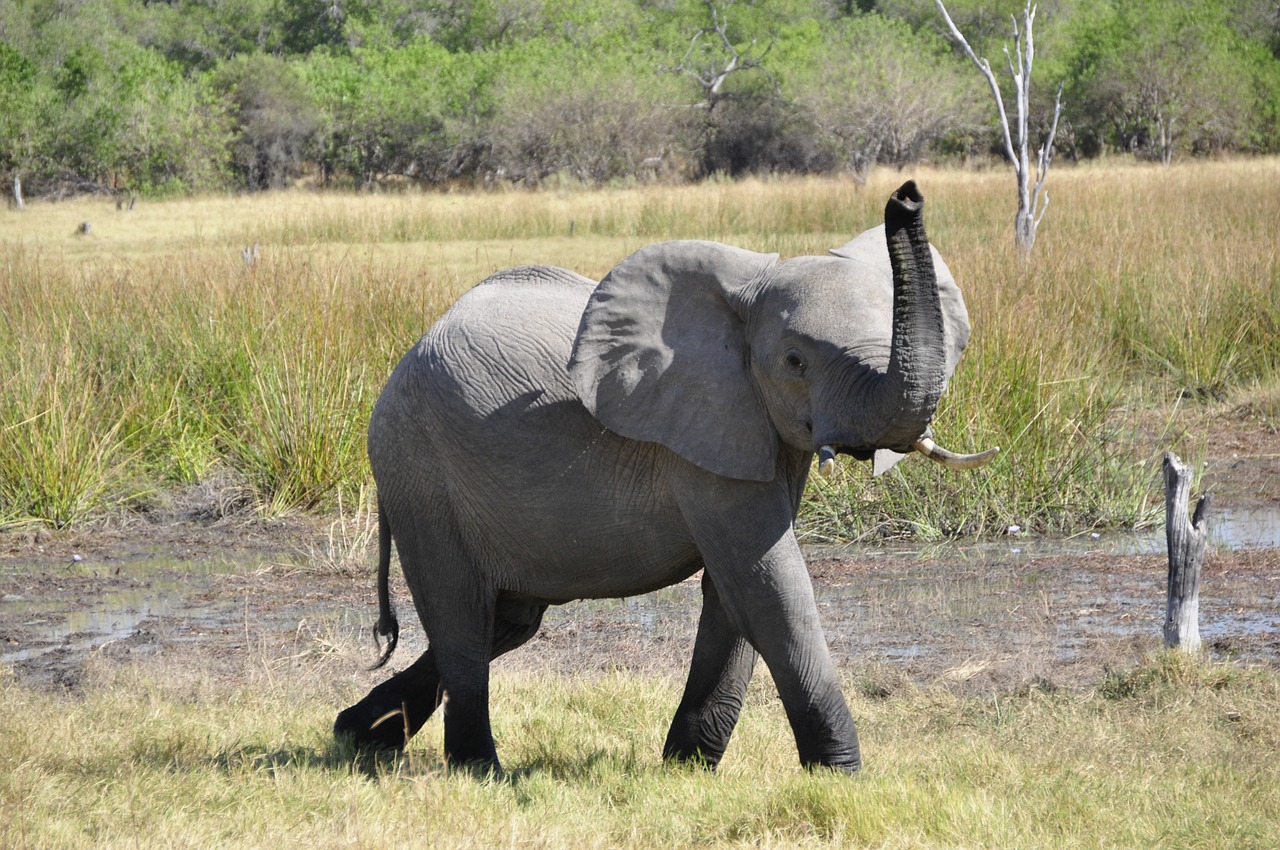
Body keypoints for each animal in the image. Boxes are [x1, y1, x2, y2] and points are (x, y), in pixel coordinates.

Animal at [335, 183, 993, 773]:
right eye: (794, 362)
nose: (905, 197)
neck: (740, 303)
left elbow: (736, 592)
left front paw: (688, 768)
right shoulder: (697, 436)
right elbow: (768, 585)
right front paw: (840, 775)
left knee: (508, 618)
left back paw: (358, 735)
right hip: (418, 469)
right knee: (463, 619)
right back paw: (477, 768)